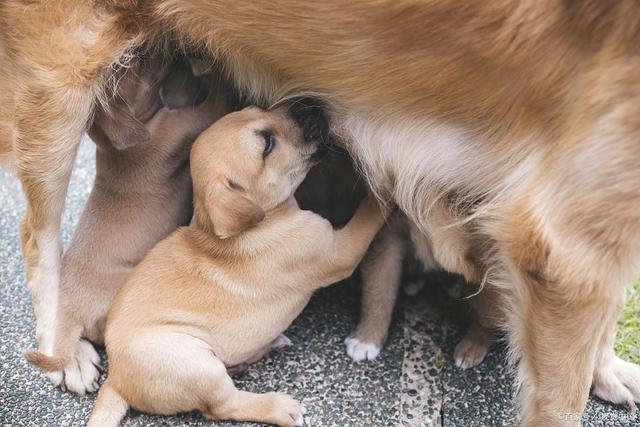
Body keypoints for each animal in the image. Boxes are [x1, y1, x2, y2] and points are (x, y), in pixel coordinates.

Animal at [25, 56, 235, 394]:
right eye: (137, 69)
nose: (163, 50)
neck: (115, 146)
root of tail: (71, 313)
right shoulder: (184, 125)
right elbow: (214, 102)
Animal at [87, 101, 388, 427]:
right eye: (267, 144)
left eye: (258, 108)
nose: (308, 103)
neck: (260, 221)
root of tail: (115, 380)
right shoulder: (338, 251)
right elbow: (368, 215)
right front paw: (385, 190)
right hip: (194, 362)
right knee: (223, 406)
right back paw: (280, 406)